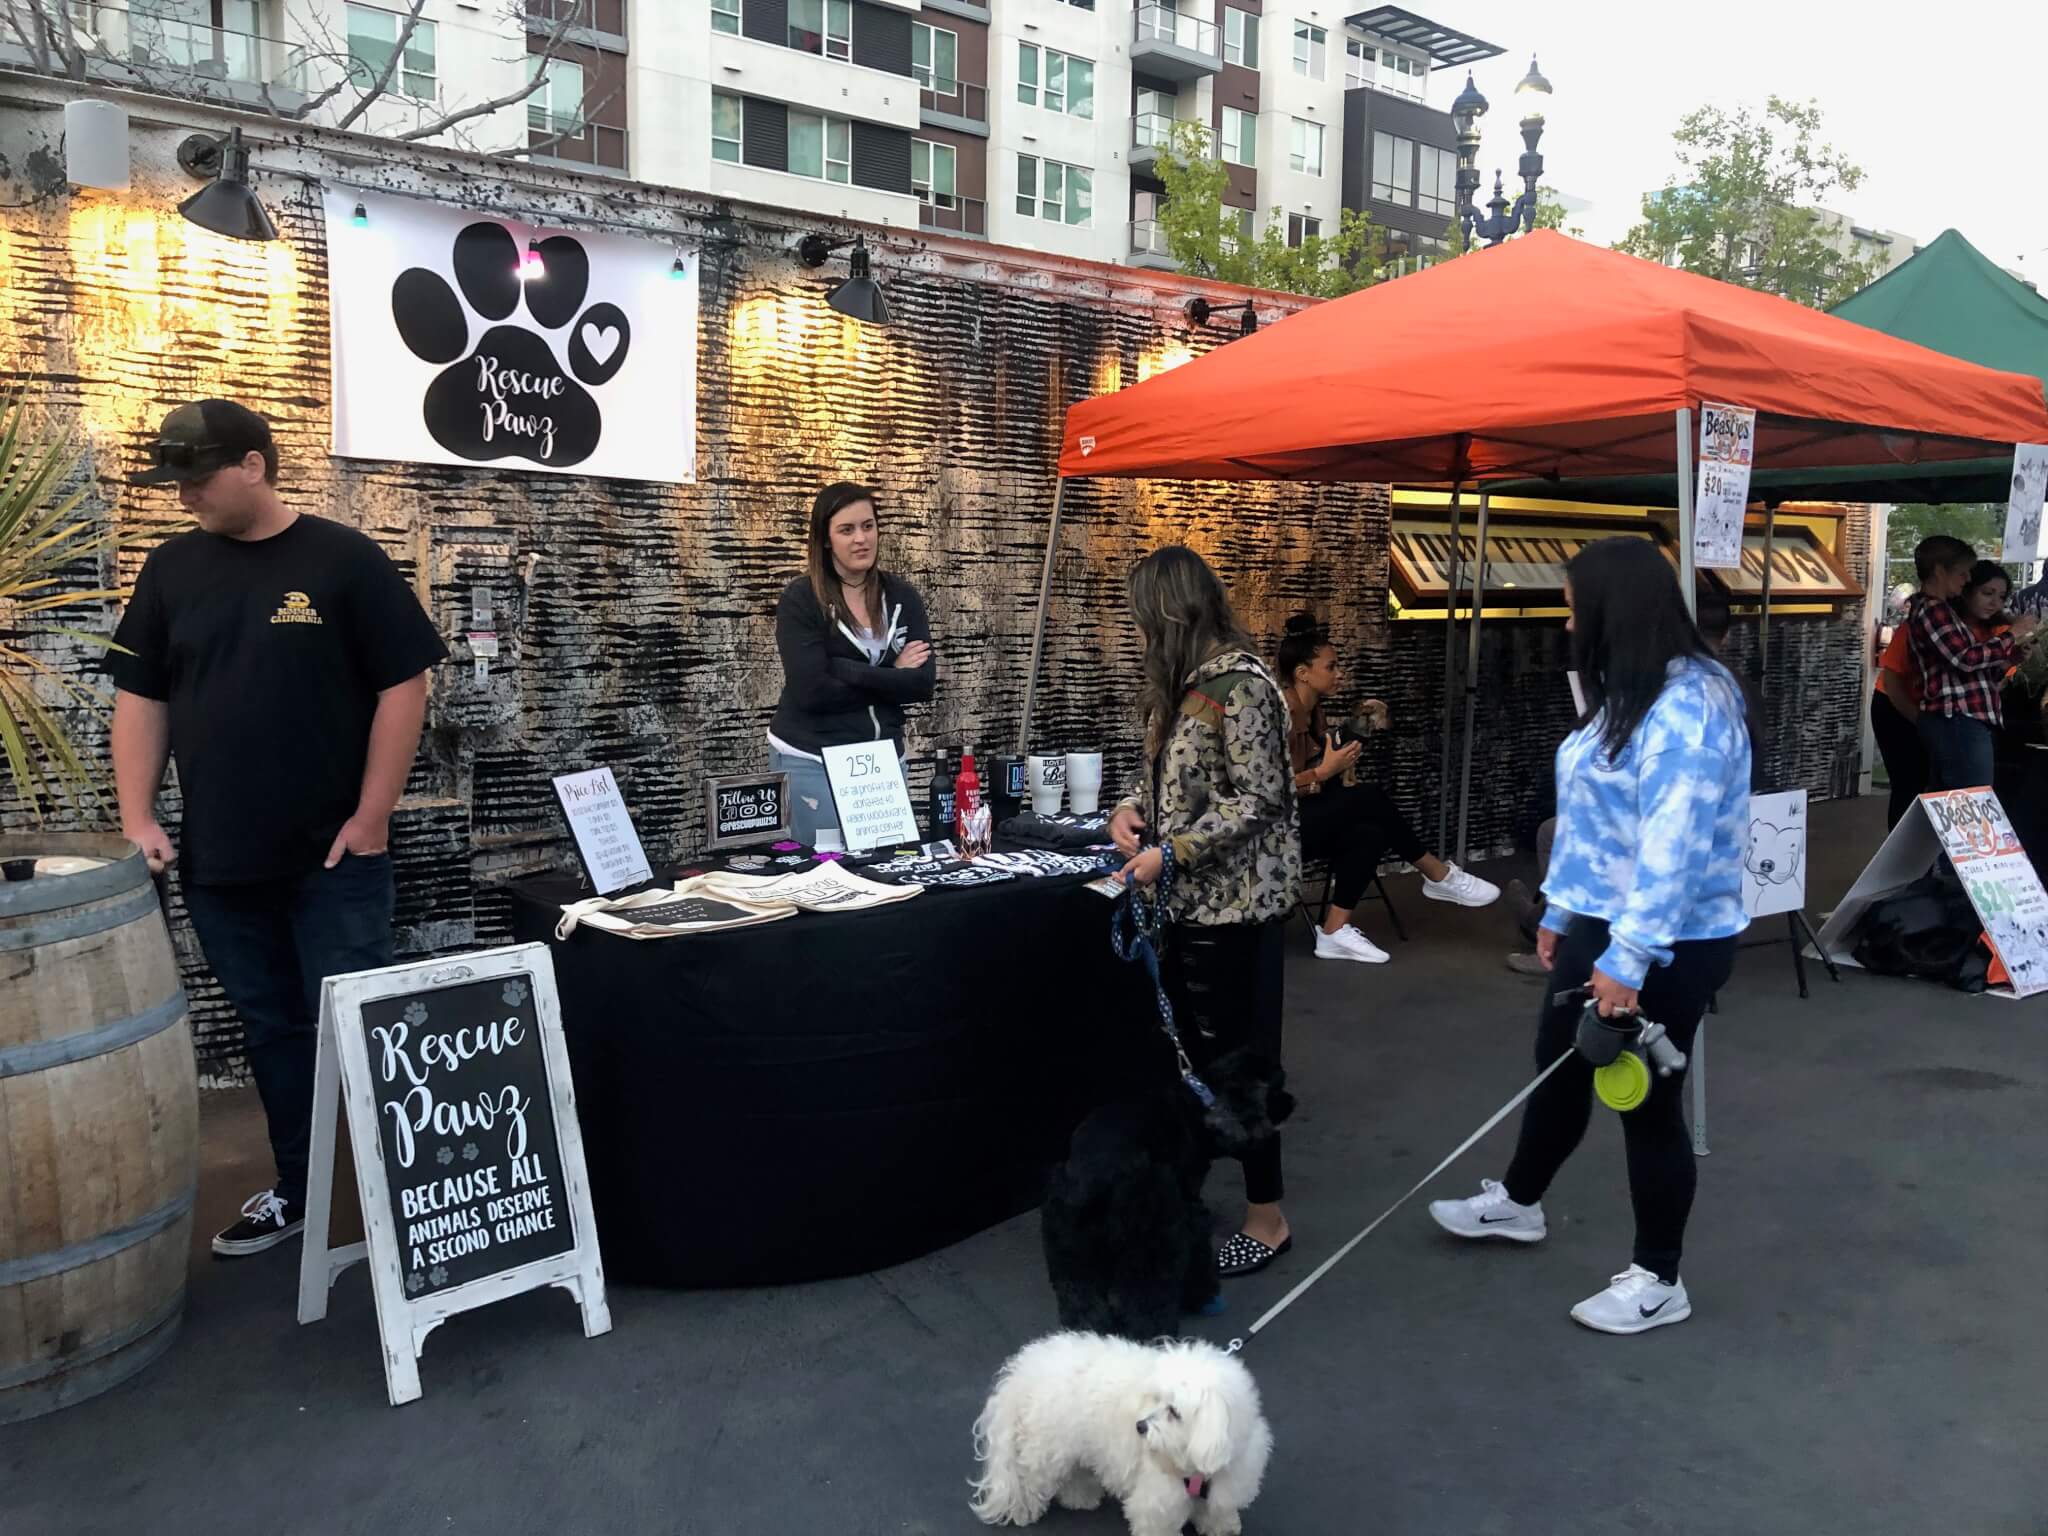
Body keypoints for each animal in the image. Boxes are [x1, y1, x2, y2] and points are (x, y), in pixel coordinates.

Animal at [970, 1331, 1271, 1536]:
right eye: (1155, 1399)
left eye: (1174, 1411)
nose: (1140, 1426)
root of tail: (1024, 1369)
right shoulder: (1157, 1498)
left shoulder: (1229, 1480)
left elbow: (1216, 1509)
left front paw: (1222, 1527)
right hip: (1046, 1448)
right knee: (1029, 1480)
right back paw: (1024, 1510)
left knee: (1074, 1474)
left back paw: (1081, 1497)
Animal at [1041, 1050, 1294, 1342]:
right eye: (1274, 1087)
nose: (1291, 1102)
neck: (1198, 1104)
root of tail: (1094, 1179)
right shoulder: (1190, 1212)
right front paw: (1205, 1296)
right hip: (1152, 1239)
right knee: (1144, 1303)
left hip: (1070, 1254)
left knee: (1082, 1305)